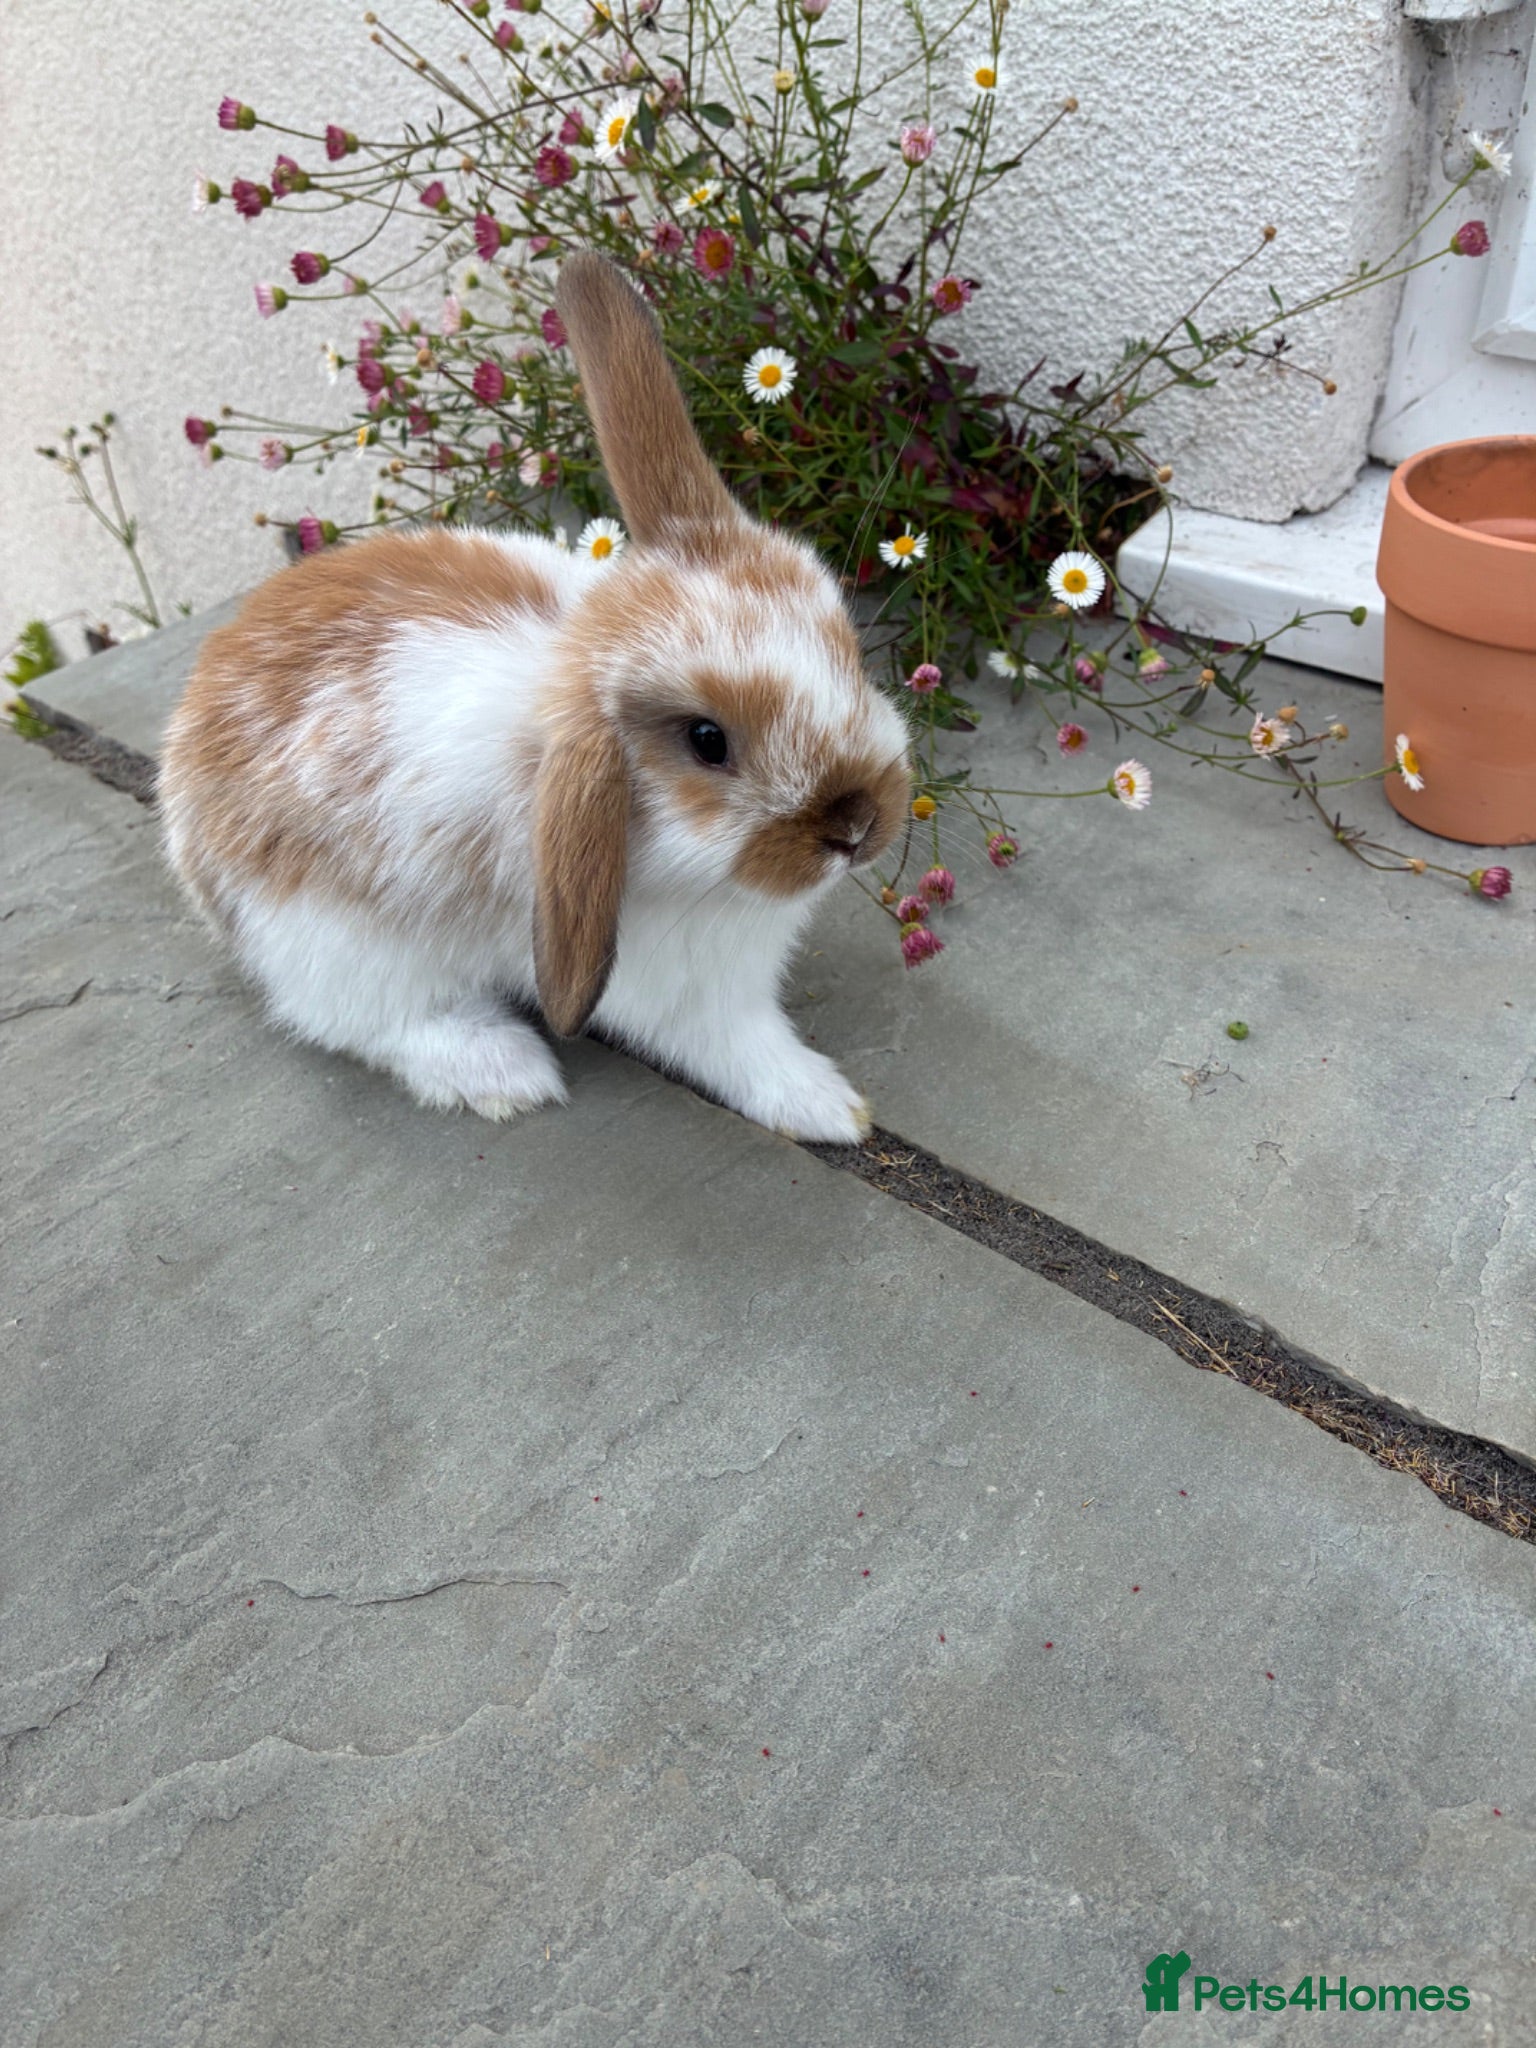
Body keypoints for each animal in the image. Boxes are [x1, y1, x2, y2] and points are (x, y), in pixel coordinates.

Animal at [158, 251, 911, 1142]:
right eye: (707, 741)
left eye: (848, 651)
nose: (858, 826)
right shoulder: (688, 991)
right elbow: (742, 1049)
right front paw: (828, 1108)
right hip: (336, 949)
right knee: (366, 1023)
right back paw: (502, 1071)